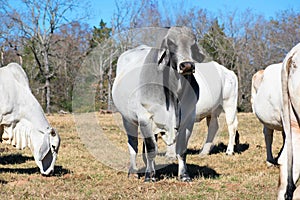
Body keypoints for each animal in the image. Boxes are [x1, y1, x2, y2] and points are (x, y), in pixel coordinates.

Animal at [111, 26, 205, 181]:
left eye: (193, 44)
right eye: (171, 44)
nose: (187, 65)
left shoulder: (188, 119)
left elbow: (182, 149)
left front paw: (184, 175)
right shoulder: (145, 117)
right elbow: (150, 148)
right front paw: (149, 176)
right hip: (128, 119)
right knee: (133, 144)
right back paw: (133, 171)